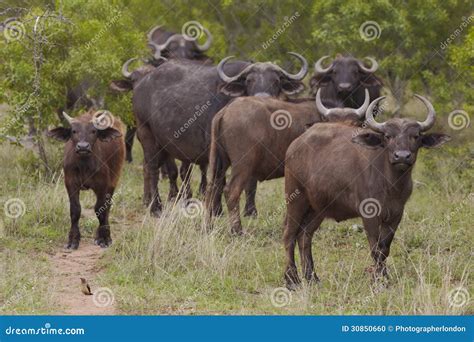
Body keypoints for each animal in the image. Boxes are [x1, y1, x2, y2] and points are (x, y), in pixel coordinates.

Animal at [47, 111, 125, 250]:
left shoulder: (103, 185)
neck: (84, 165)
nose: (83, 146)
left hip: (114, 181)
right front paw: (73, 240)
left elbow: (100, 209)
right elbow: (75, 210)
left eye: (93, 131)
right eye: (74, 131)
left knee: (107, 207)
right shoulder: (70, 183)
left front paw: (104, 239)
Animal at [133, 52, 310, 215]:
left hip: (165, 145)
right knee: (152, 168)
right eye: (249, 80)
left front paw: (250, 210)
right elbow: (220, 180)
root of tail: (141, 85)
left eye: (276, 81)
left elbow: (251, 182)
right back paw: (155, 207)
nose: (262, 97)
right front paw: (216, 210)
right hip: (146, 133)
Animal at [284, 94, 450, 288]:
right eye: (388, 136)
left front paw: (384, 278)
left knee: (305, 236)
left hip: (318, 209)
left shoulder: (396, 214)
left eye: (415, 136)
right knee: (289, 235)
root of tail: (294, 145)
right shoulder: (369, 214)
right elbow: (375, 247)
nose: (402, 156)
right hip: (295, 199)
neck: (390, 185)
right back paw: (291, 280)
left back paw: (312, 278)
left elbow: (385, 248)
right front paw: (379, 280)